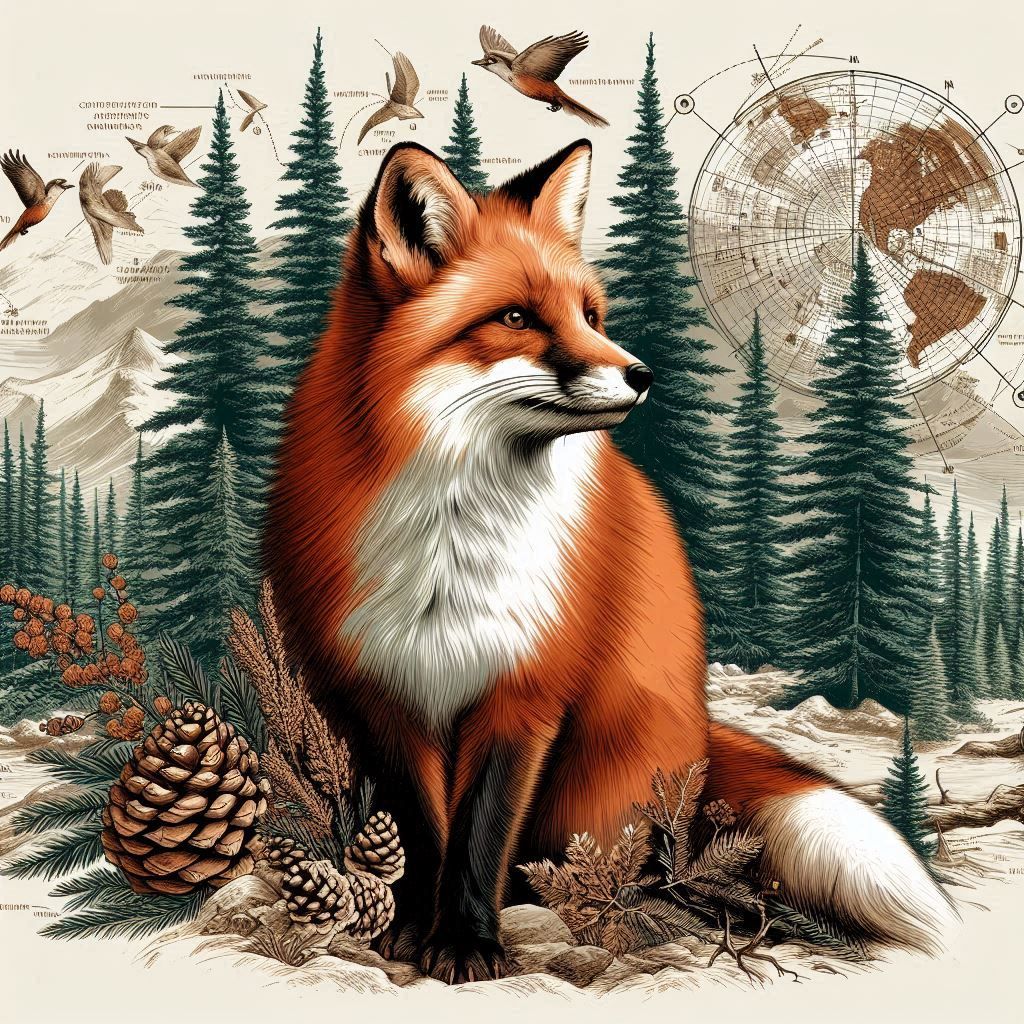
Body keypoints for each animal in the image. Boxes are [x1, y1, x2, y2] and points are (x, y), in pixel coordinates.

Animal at [266, 139, 958, 984]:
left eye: (590, 315)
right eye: (517, 318)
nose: (642, 374)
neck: (455, 542)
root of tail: (701, 730)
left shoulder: (525, 688)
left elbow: (479, 833)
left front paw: (465, 941)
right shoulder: (381, 691)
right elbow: (426, 828)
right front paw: (412, 930)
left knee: (646, 863)